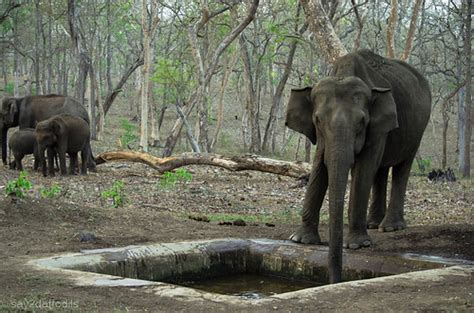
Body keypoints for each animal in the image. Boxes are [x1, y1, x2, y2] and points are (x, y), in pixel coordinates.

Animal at [286, 50, 432, 284]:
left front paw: (357, 245)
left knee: (402, 167)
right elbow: (319, 166)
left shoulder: (377, 126)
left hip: (417, 129)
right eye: (317, 120)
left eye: (362, 122)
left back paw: (390, 227)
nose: (335, 280)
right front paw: (301, 240)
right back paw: (373, 223)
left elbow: (363, 168)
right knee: (381, 170)